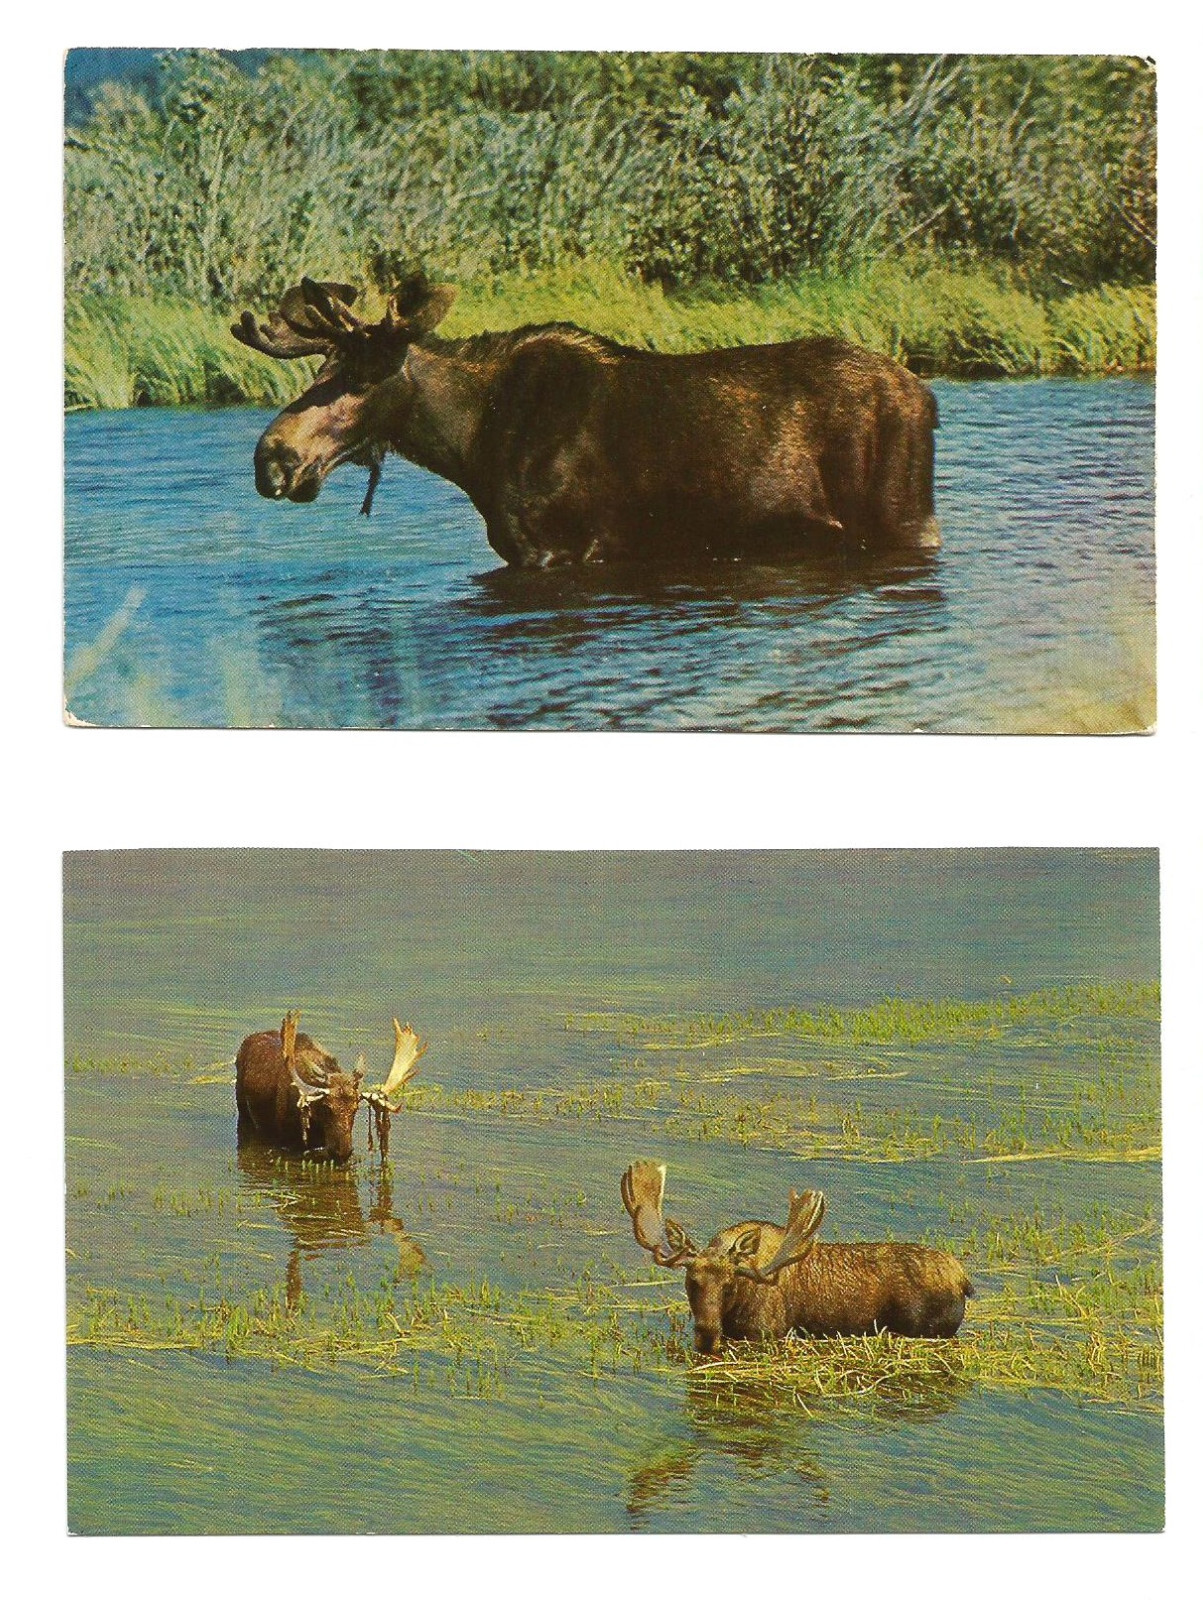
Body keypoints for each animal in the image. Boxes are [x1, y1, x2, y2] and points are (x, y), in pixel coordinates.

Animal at [233, 274, 940, 568]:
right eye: (317, 369)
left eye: (358, 378)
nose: (271, 457)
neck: (468, 445)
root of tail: (926, 399)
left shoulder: (561, 548)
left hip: (902, 518)